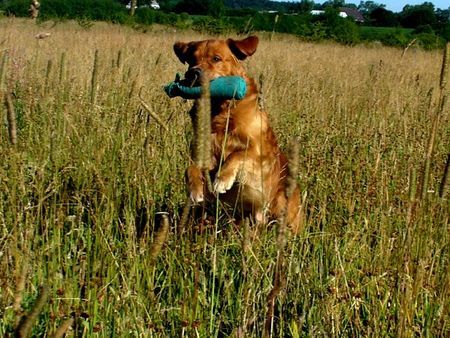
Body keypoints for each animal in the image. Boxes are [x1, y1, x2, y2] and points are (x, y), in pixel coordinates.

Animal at [172, 36, 302, 232]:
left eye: (216, 58)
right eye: (191, 60)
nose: (192, 73)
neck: (223, 112)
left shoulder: (259, 153)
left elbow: (238, 154)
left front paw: (222, 179)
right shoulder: (205, 157)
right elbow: (192, 167)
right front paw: (195, 189)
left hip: (280, 204)